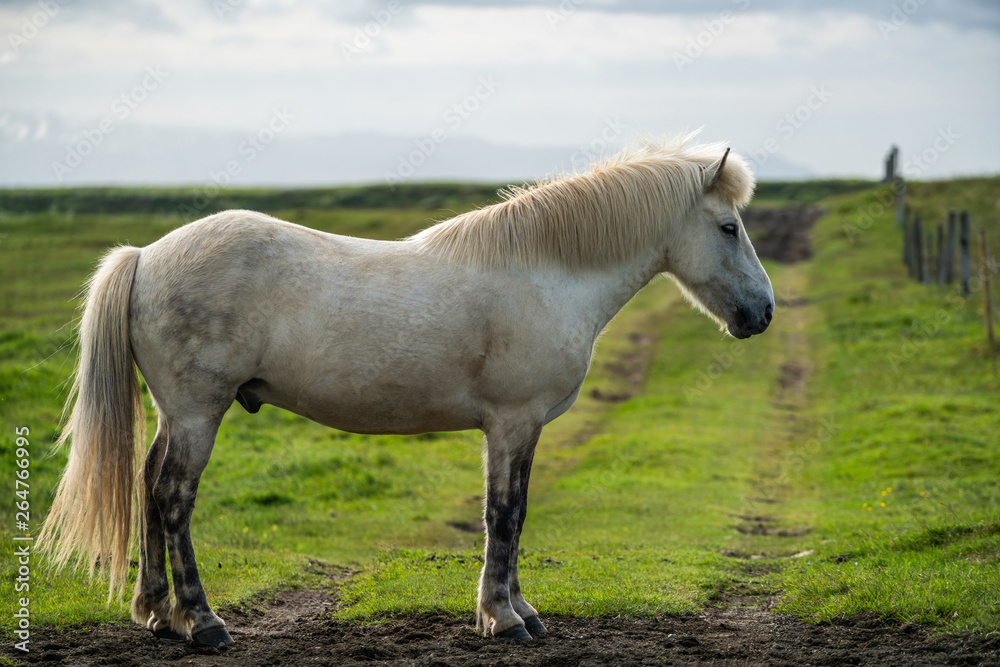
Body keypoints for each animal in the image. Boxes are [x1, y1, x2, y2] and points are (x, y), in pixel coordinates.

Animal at [37, 137, 772, 648]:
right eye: (729, 227)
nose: (762, 313)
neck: (547, 272)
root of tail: (146, 255)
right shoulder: (511, 422)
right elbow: (504, 515)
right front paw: (503, 619)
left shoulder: (523, 427)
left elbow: (516, 513)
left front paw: (519, 610)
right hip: (197, 412)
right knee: (172, 497)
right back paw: (201, 621)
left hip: (176, 414)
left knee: (147, 486)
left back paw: (157, 614)